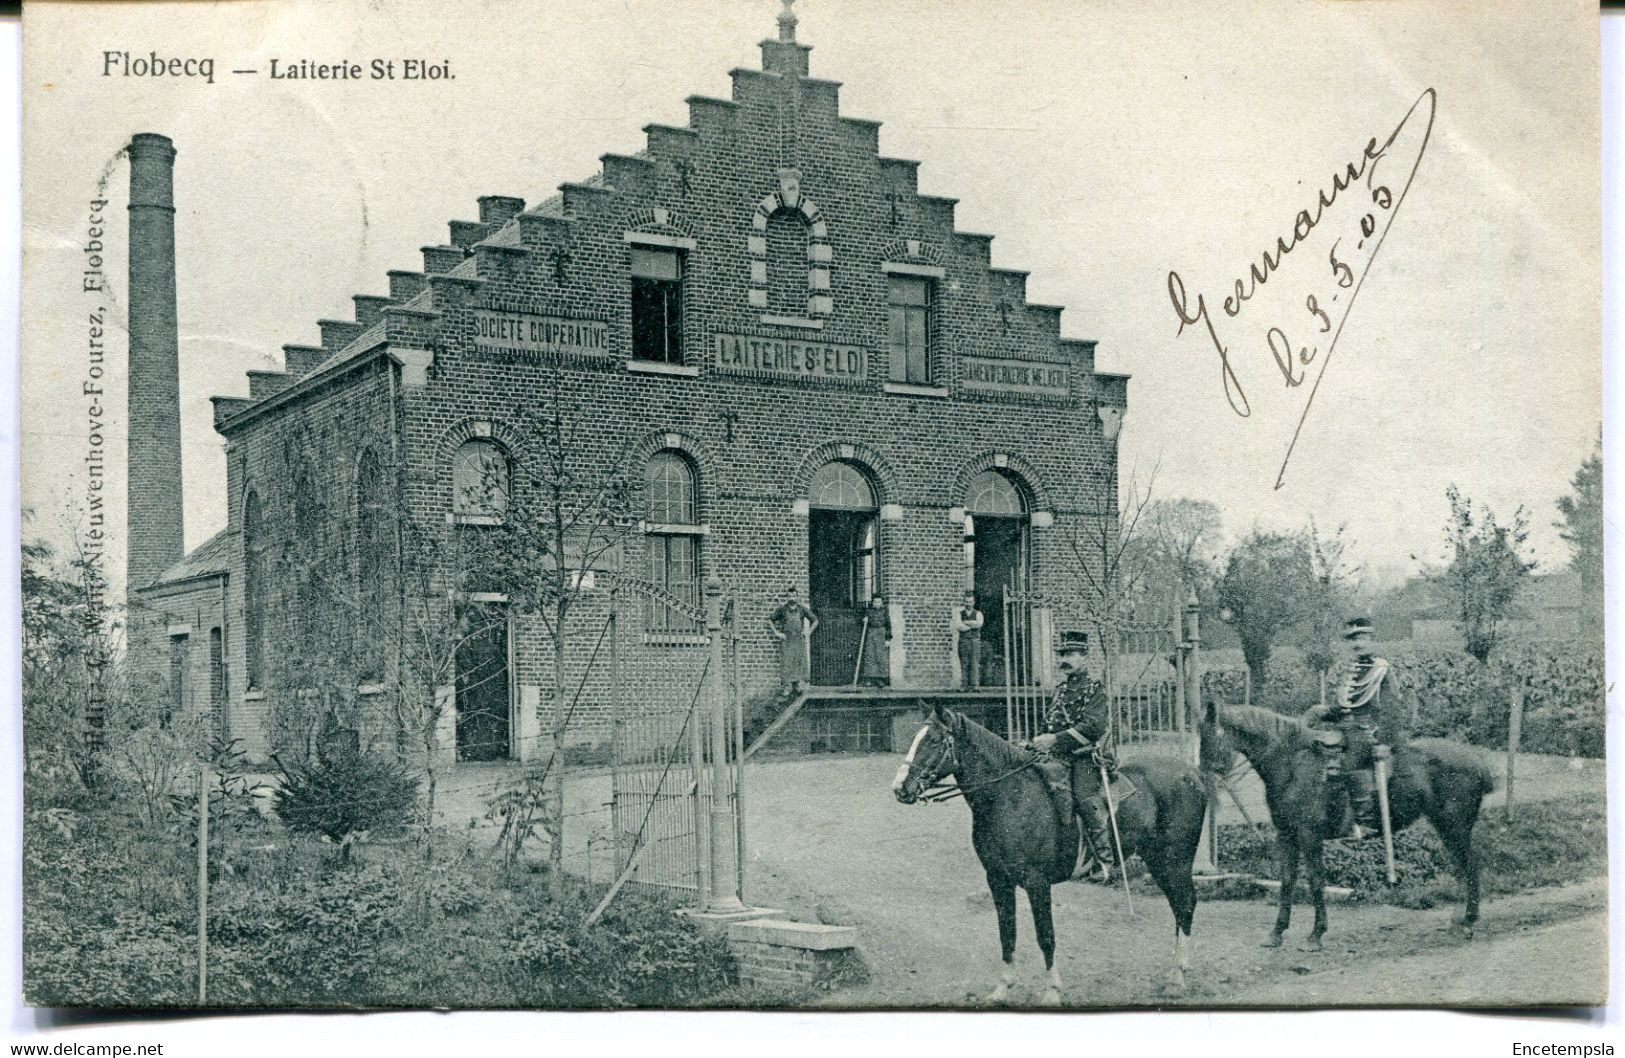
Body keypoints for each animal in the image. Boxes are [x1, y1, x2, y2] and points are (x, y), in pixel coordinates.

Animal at [890, 702, 1209, 1001]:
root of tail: (1193, 774)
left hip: (1175, 861)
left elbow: (1045, 936)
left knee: (1186, 904)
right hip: (1157, 861)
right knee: (1179, 907)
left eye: (934, 740)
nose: (899, 788)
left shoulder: (1036, 883)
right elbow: (1007, 933)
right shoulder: (997, 880)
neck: (1009, 796)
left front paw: (1053, 990)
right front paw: (1003, 987)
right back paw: (1177, 969)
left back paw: (1177, 977)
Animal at [1202, 702, 1488, 949]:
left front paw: (1316, 934)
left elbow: (1316, 882)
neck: (1292, 765)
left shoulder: (1309, 836)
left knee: (1471, 864)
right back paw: (1459, 919)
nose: (1204, 779)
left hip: (1455, 825)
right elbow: (1287, 881)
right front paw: (1276, 933)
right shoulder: (1286, 836)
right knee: (1462, 867)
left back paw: (1468, 921)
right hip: (1445, 826)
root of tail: (1476, 762)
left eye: (1211, 736)